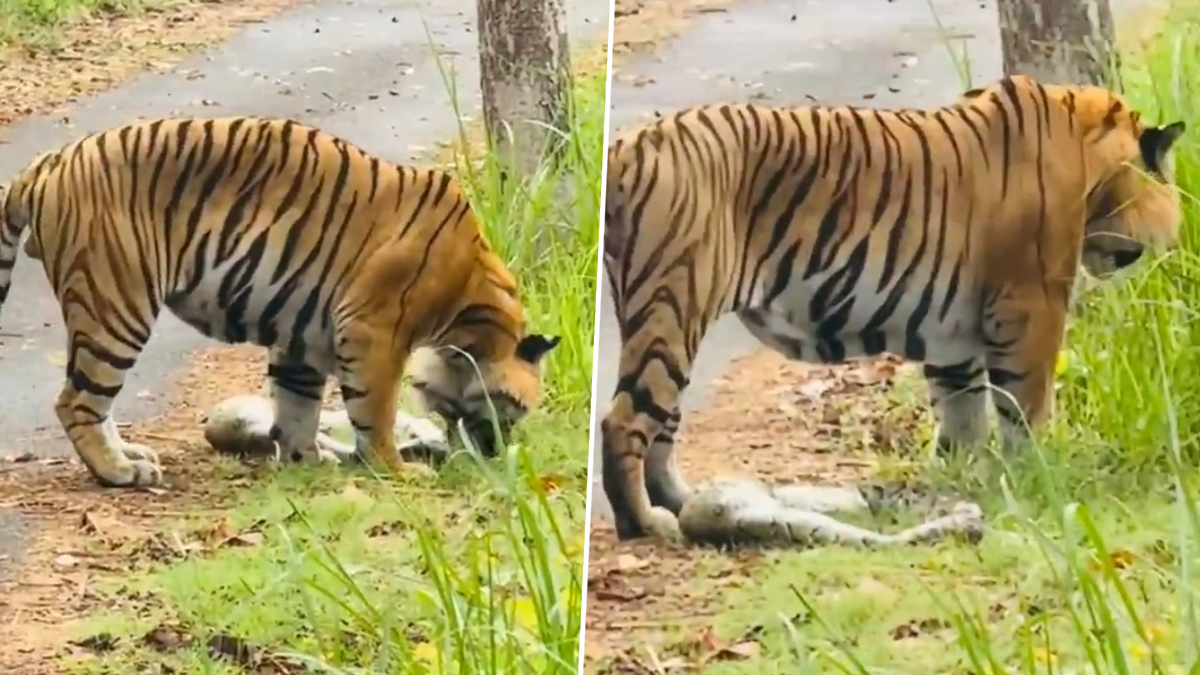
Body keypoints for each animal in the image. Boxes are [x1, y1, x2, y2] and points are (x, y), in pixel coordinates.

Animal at [0, 116, 561, 488]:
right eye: (514, 411)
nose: (499, 453)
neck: (469, 310)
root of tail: (46, 164)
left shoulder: (302, 336)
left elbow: (296, 405)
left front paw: (305, 460)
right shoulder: (373, 330)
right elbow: (375, 410)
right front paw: (397, 470)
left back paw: (133, 457)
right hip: (115, 306)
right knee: (77, 402)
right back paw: (119, 472)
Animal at [600, 75, 1185, 542]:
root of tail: (627, 147)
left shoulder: (954, 343)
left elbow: (963, 421)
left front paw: (966, 485)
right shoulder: (1032, 307)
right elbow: (1025, 409)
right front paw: (1036, 478)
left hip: (667, 319)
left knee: (661, 426)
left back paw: (684, 502)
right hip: (674, 305)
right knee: (624, 421)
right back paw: (647, 524)